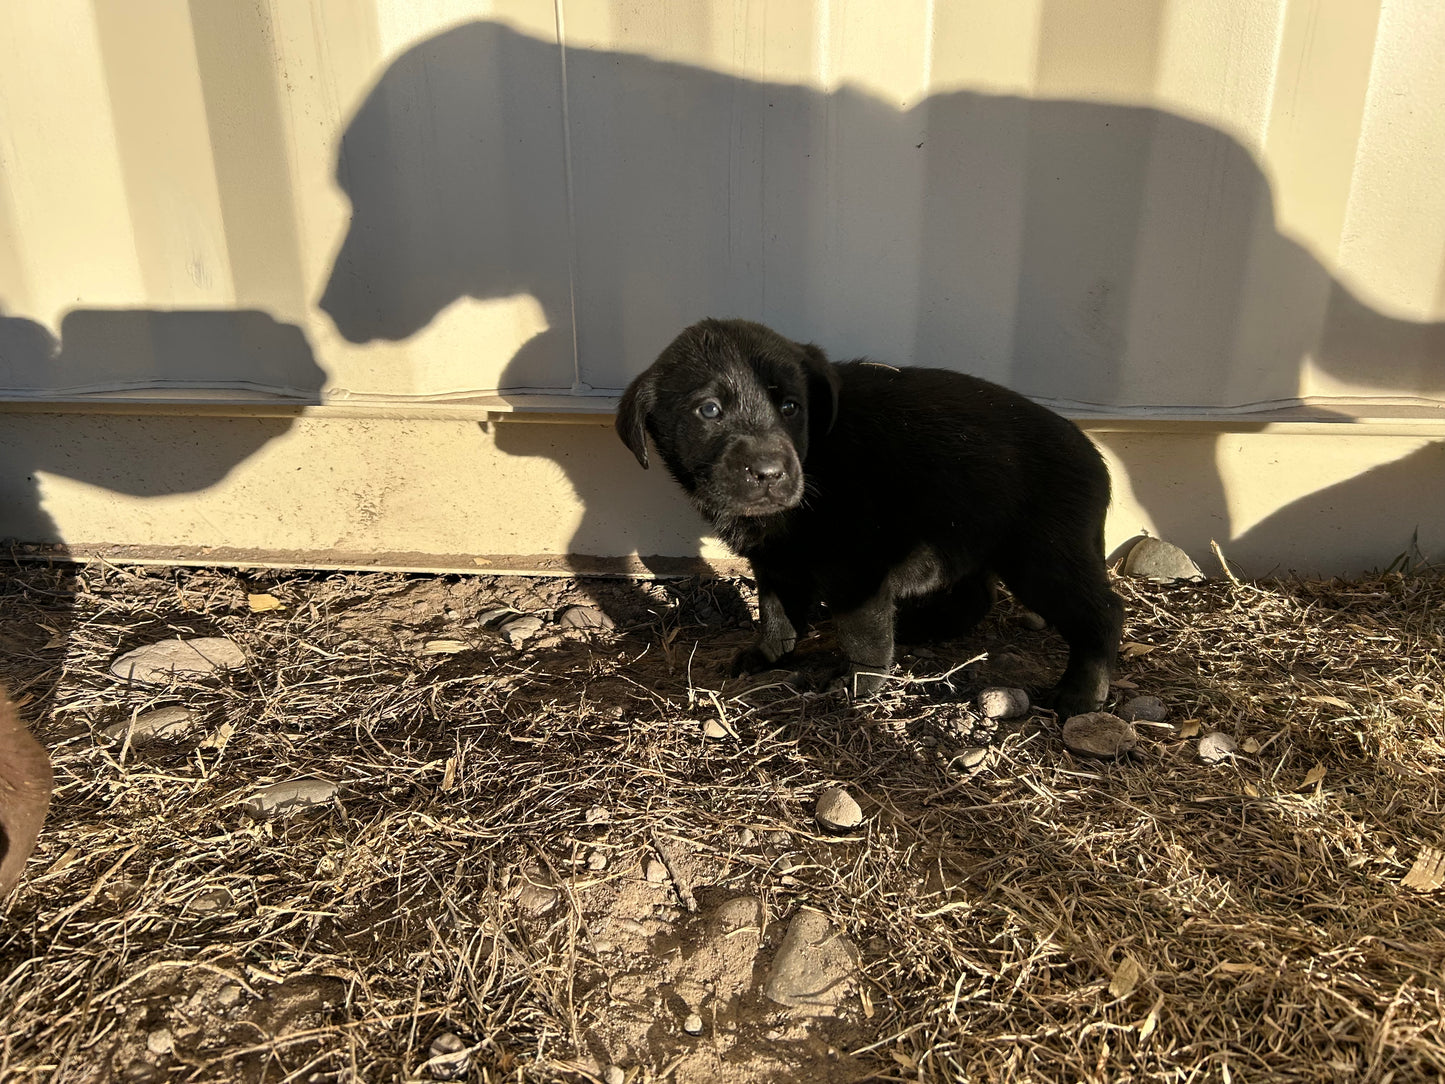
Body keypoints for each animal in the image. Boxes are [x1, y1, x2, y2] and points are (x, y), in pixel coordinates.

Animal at [615, 317, 1121, 716]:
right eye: (709, 410)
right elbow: (776, 614)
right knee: (977, 596)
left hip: (1042, 556)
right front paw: (769, 656)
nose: (769, 474)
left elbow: (862, 637)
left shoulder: (858, 569)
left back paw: (1081, 694)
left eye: (791, 407)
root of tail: (1097, 460)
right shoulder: (777, 562)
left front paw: (859, 685)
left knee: (1102, 613)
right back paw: (923, 628)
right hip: (970, 537)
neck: (819, 455)